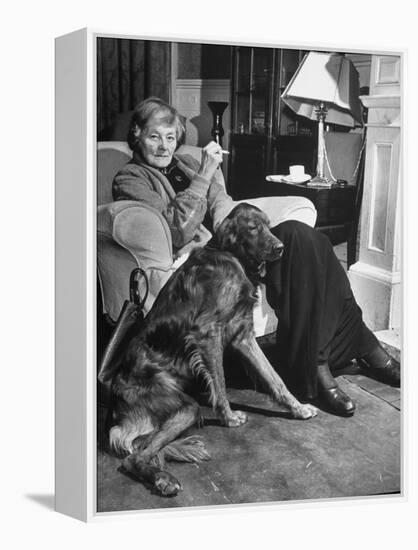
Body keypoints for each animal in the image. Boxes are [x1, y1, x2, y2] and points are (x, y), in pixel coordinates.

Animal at [108, 203, 316, 496]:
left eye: (269, 225)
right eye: (253, 228)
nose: (280, 248)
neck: (231, 257)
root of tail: (116, 410)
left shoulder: (244, 336)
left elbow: (275, 378)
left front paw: (298, 408)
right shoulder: (208, 334)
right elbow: (220, 382)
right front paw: (229, 417)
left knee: (142, 449)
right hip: (184, 406)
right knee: (133, 458)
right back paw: (164, 480)